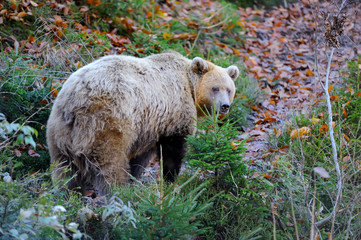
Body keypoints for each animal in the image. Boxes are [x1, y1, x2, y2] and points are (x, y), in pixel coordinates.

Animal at [47, 51, 239, 195]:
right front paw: (170, 180)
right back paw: (118, 191)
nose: (225, 106)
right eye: (215, 88)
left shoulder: (150, 126)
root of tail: (76, 97)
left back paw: (68, 193)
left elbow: (141, 156)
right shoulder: (174, 113)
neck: (191, 88)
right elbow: (174, 150)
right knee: (110, 162)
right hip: (107, 119)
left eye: (229, 89)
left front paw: (135, 177)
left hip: (60, 129)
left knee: (64, 168)